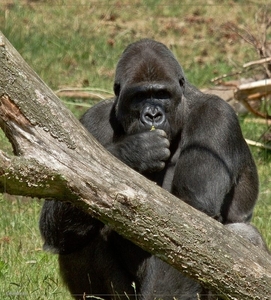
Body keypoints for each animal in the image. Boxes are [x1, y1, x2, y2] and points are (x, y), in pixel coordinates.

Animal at [39, 39, 266, 300]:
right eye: (139, 97)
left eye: (161, 94)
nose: (153, 115)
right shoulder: (91, 121)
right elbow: (69, 194)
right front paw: (134, 152)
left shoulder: (216, 117)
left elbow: (192, 222)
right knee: (73, 236)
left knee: (242, 234)